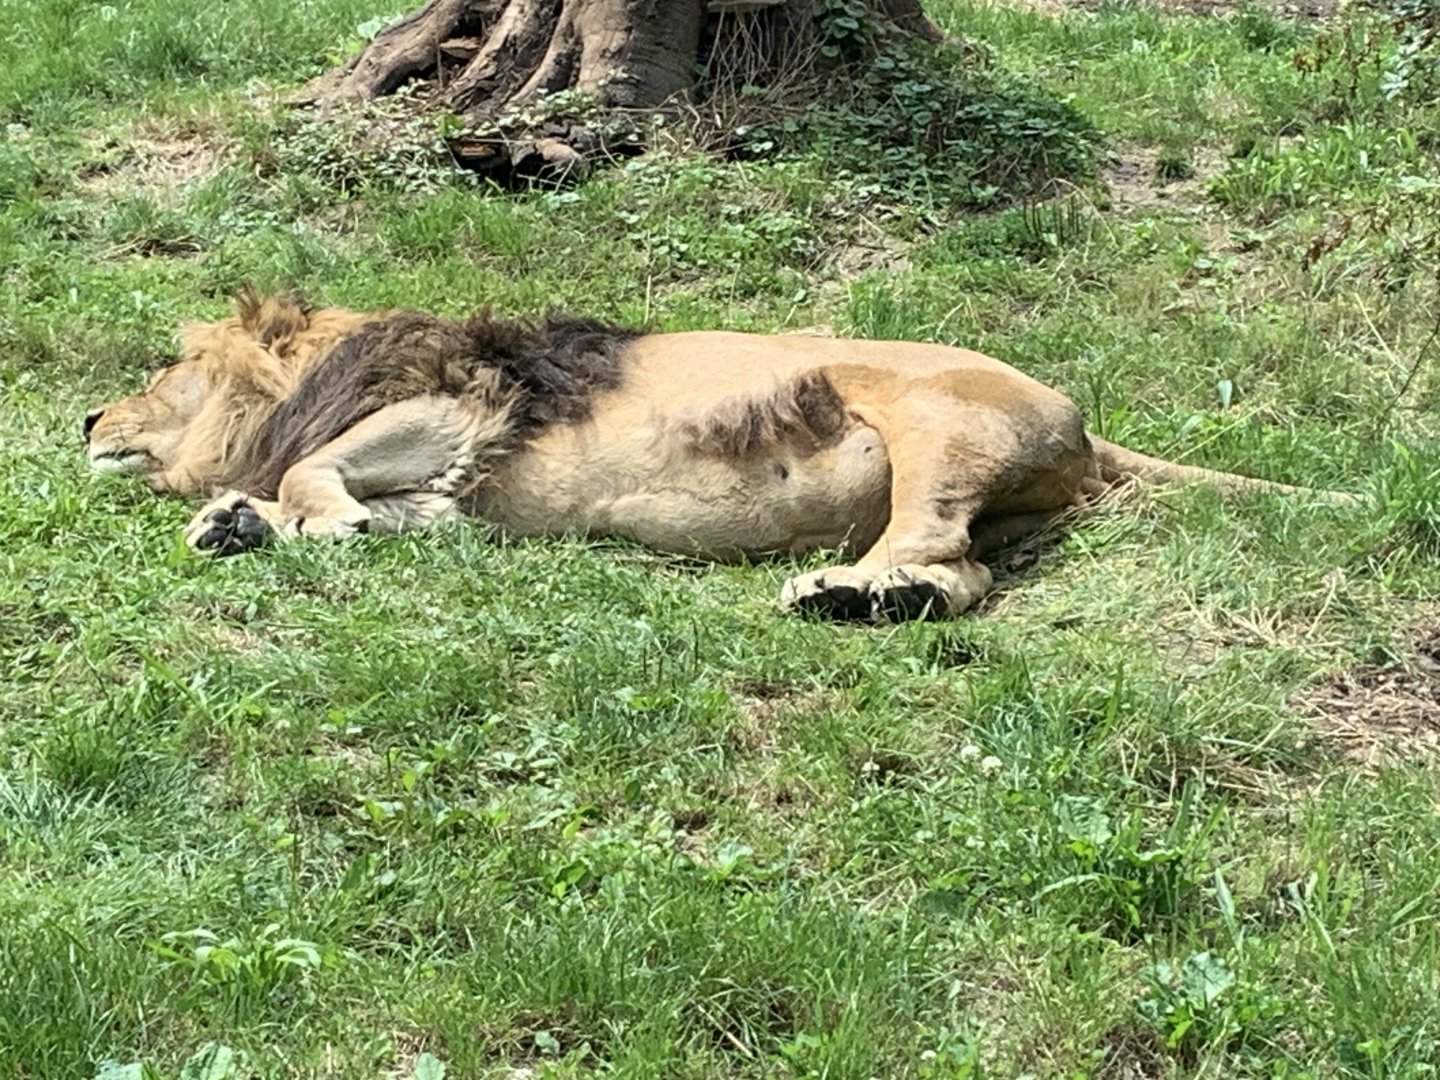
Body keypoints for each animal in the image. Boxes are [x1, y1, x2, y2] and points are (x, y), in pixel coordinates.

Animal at [84, 290, 1350, 621]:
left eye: (168, 361)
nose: (85, 422)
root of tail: (1083, 420)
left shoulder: (458, 411)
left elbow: (312, 471)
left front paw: (288, 513)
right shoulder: (458, 495)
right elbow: (331, 499)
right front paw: (240, 523)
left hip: (924, 416)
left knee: (933, 544)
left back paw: (848, 593)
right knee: (969, 573)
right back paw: (874, 603)